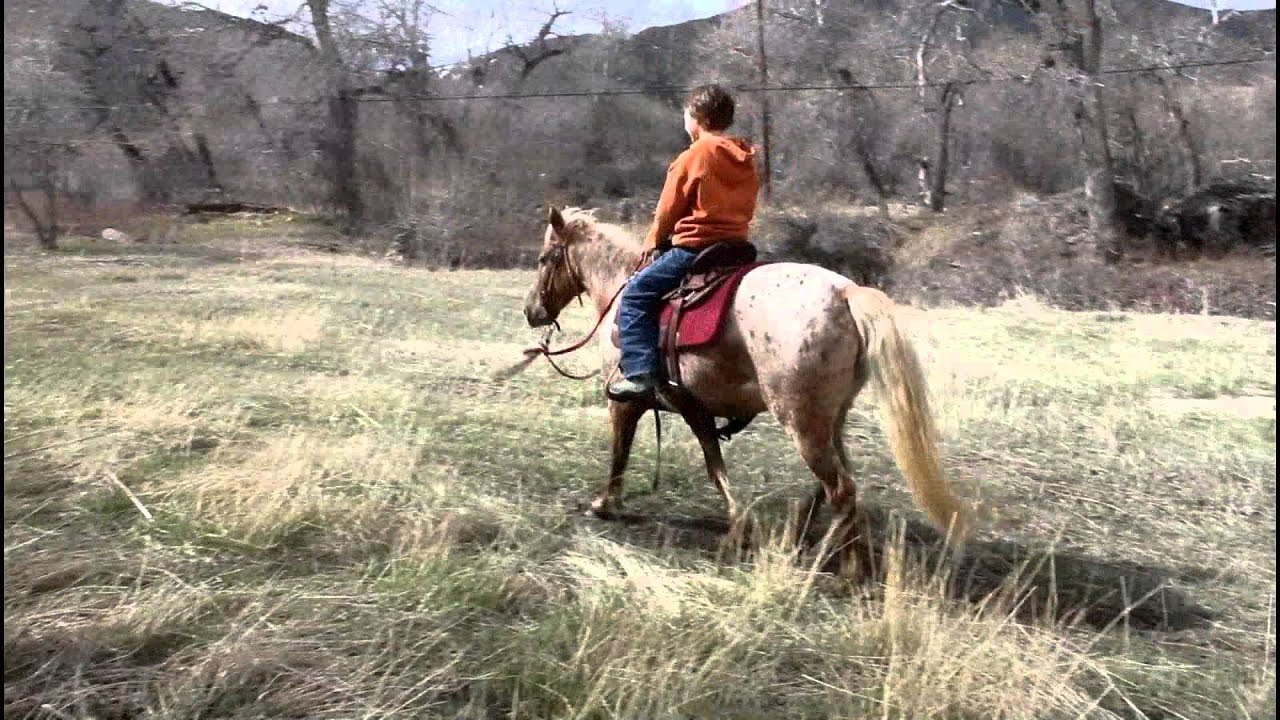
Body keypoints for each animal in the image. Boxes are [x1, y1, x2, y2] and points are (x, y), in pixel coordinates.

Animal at [519, 206, 970, 578]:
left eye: (544, 258)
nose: (532, 311)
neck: (618, 291)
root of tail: (846, 293)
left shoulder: (624, 403)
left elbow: (620, 453)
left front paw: (605, 504)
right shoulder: (693, 407)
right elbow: (714, 464)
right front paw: (739, 525)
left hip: (801, 421)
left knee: (840, 488)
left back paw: (848, 570)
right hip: (829, 419)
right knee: (838, 482)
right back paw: (810, 536)